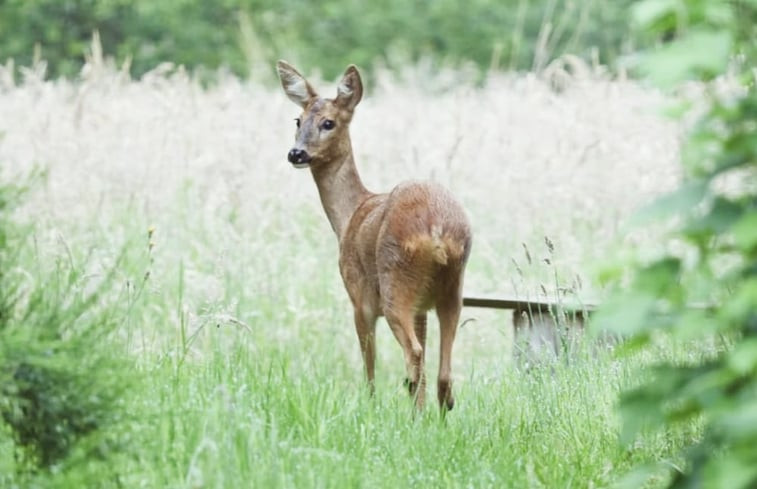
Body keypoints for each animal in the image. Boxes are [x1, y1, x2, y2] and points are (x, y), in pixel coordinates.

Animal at [274, 63, 470, 410]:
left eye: (329, 122)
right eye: (298, 120)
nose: (296, 153)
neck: (349, 216)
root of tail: (436, 230)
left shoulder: (358, 295)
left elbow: (369, 365)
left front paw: (369, 405)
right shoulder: (421, 308)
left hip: (395, 281)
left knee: (413, 357)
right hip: (452, 288)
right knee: (443, 376)